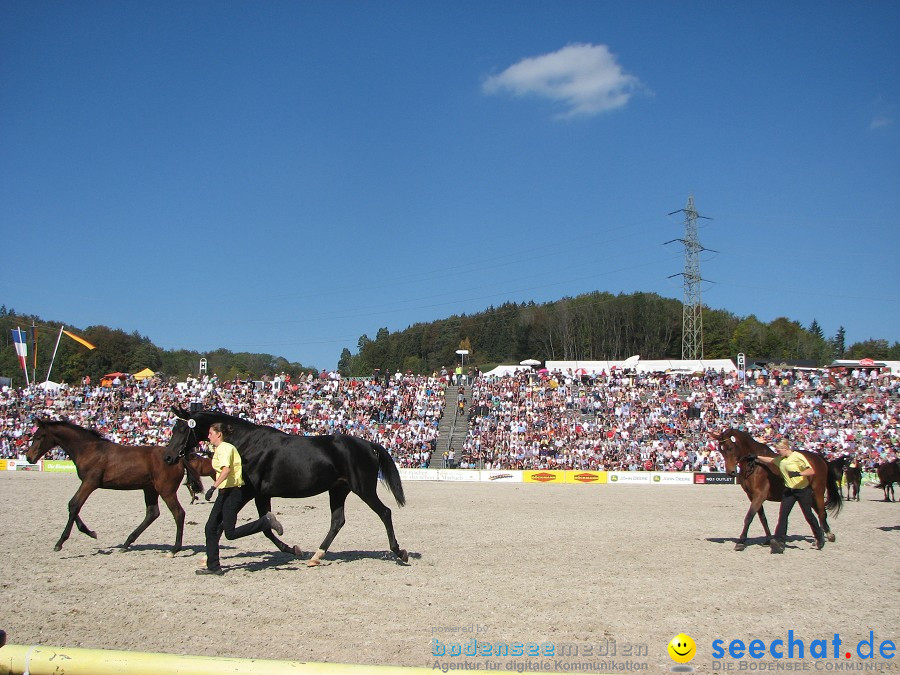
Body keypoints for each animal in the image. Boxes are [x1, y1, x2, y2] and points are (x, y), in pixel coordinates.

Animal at [27, 420, 207, 556]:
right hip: (150, 489)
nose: (29, 457)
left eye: (39, 436)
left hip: (166, 490)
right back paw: (127, 543)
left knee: (178, 513)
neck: (89, 449)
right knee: (152, 513)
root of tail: (178, 458)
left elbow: (74, 505)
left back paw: (175, 548)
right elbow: (73, 506)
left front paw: (60, 542)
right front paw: (91, 533)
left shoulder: (90, 483)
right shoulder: (87, 483)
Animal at [163, 410, 410, 568]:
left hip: (364, 489)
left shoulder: (247, 492)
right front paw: (294, 549)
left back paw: (400, 552)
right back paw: (316, 556)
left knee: (385, 512)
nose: (168, 457)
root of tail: (368, 444)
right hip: (338, 490)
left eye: (183, 429)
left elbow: (228, 525)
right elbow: (264, 526)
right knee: (337, 521)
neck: (248, 444)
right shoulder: (261, 495)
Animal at [712, 430, 844, 552]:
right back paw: (825, 536)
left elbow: (749, 516)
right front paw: (769, 539)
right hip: (810, 495)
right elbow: (762, 518)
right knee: (820, 513)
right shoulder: (752, 496)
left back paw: (822, 539)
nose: (730, 472)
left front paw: (741, 542)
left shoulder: (760, 495)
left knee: (821, 513)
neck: (756, 466)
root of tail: (819, 458)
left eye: (730, 448)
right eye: (720, 450)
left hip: (818, 492)